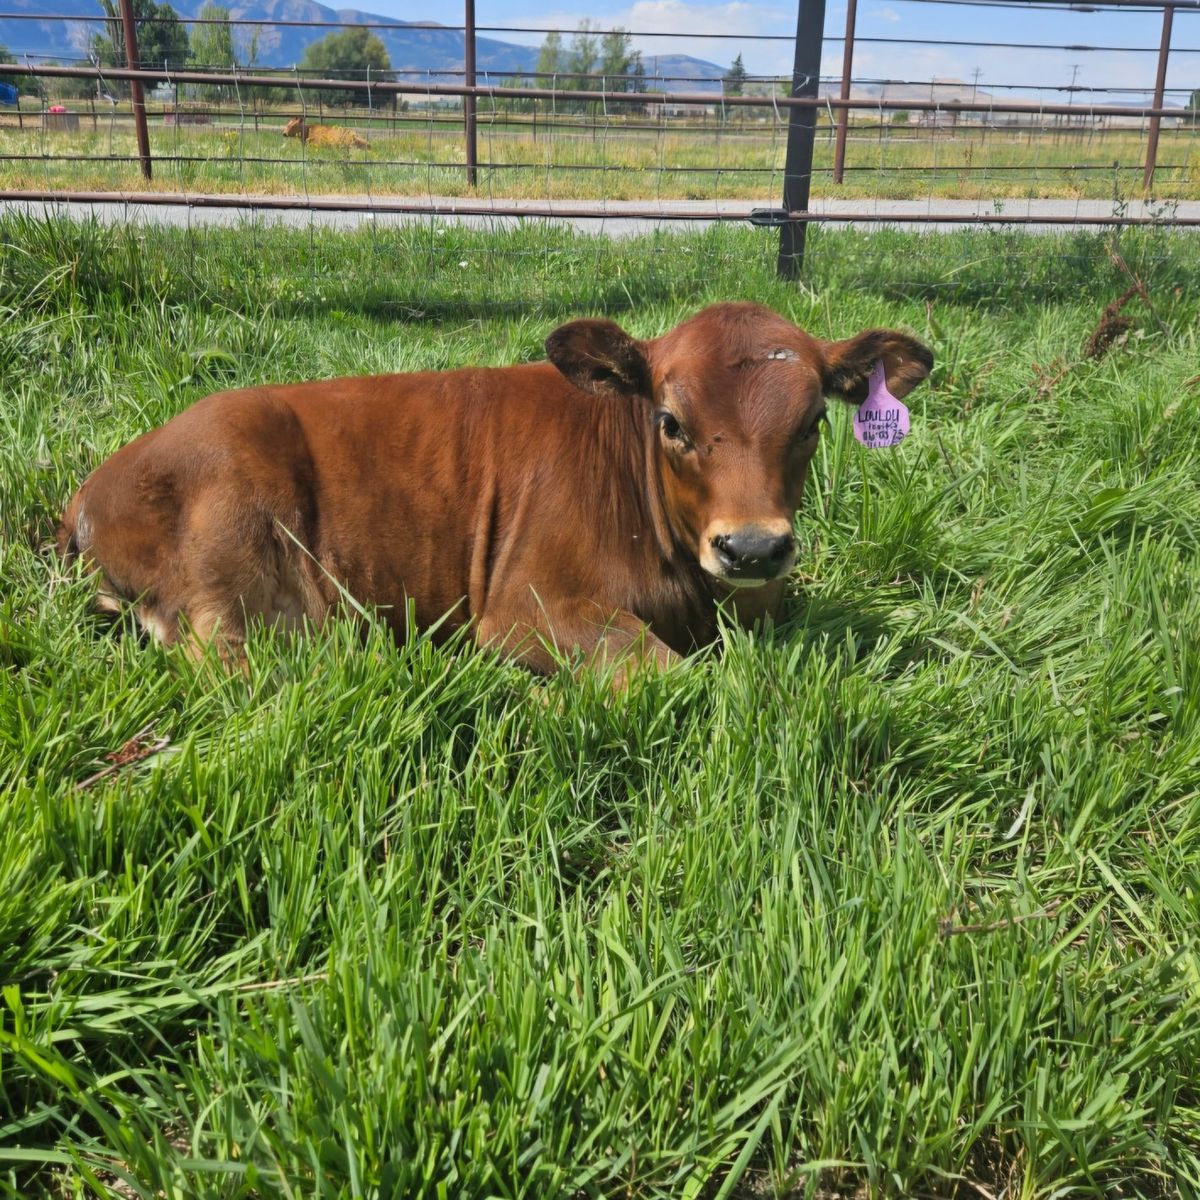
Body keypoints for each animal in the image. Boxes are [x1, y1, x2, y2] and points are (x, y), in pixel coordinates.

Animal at [57, 303, 932, 678]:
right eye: (671, 422)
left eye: (814, 421)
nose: (752, 546)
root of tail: (93, 486)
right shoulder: (526, 605)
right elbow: (674, 677)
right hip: (250, 574)